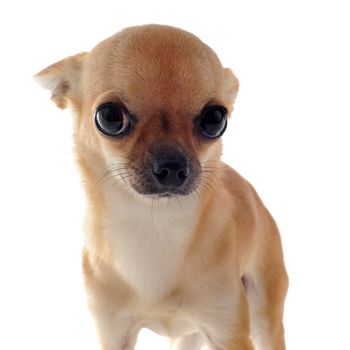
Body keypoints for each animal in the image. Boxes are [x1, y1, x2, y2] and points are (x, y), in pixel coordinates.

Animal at [34, 25, 288, 350]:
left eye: (215, 119)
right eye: (110, 117)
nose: (172, 167)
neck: (154, 223)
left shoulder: (229, 332)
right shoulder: (114, 332)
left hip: (265, 313)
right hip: (188, 336)